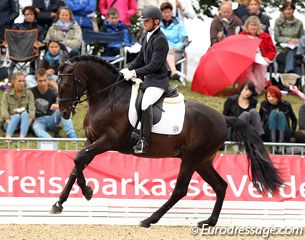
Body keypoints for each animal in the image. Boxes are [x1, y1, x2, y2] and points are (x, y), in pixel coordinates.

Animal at [49, 55, 280, 229]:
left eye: (67, 84)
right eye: (57, 84)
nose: (64, 112)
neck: (107, 97)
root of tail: (223, 118)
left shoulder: (108, 141)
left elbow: (79, 159)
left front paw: (87, 192)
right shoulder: (92, 139)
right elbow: (76, 165)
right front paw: (59, 203)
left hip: (192, 157)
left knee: (181, 190)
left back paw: (149, 219)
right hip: (203, 161)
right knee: (220, 186)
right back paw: (209, 222)